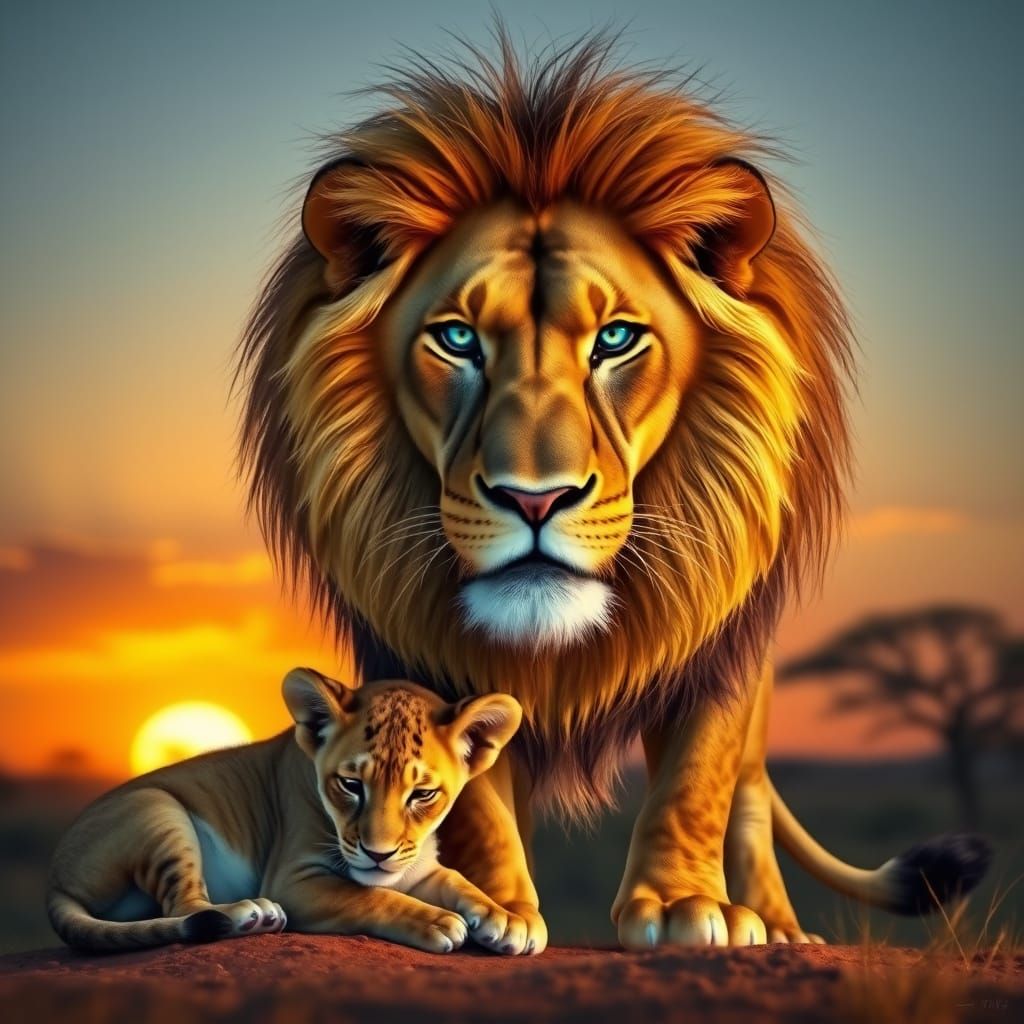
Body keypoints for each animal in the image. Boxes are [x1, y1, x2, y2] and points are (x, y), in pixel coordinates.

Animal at [234, 30, 990, 949]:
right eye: (458, 339)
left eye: (617, 339)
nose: (534, 499)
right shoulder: (416, 647)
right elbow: (474, 795)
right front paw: (496, 905)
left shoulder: (719, 648)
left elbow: (698, 777)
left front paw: (685, 907)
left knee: (746, 798)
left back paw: (778, 927)